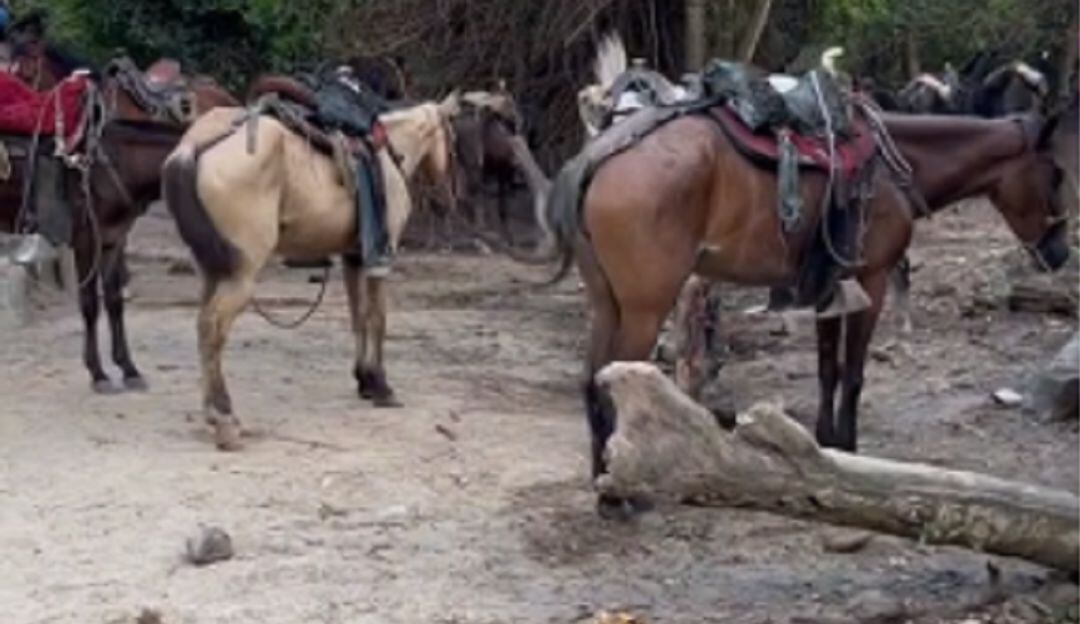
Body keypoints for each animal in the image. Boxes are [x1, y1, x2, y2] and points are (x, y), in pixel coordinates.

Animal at [1, 47, 238, 392]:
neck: (115, 159)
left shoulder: (113, 238)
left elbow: (113, 299)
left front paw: (128, 368)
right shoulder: (86, 239)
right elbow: (89, 302)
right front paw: (98, 373)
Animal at [162, 92, 462, 450]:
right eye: (453, 141)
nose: (447, 200)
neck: (388, 155)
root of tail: (193, 147)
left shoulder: (353, 257)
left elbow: (359, 317)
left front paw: (363, 380)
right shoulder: (380, 259)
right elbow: (378, 318)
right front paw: (381, 385)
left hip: (211, 269)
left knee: (203, 327)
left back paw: (211, 412)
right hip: (241, 276)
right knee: (212, 327)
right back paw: (225, 419)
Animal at [536, 102, 1068, 517]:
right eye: (1058, 173)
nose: (1061, 253)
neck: (898, 166)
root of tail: (595, 158)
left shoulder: (830, 289)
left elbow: (827, 368)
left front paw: (827, 446)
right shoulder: (872, 281)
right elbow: (853, 373)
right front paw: (850, 446)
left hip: (606, 302)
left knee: (590, 381)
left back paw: (606, 484)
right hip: (646, 306)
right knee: (614, 381)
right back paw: (621, 496)